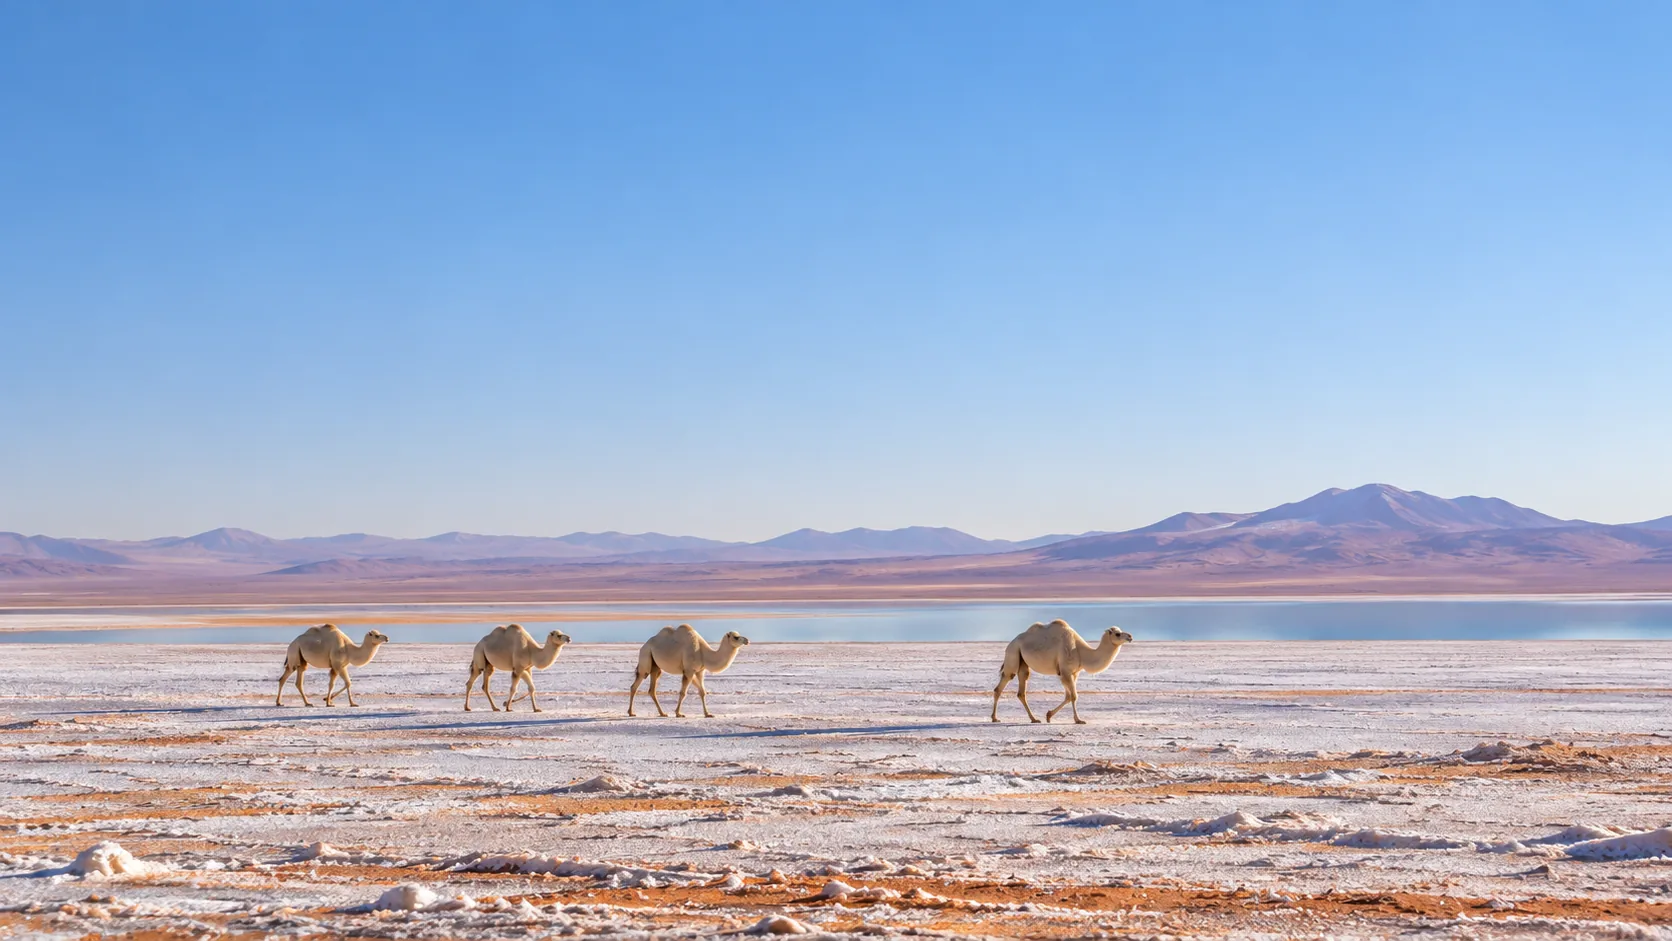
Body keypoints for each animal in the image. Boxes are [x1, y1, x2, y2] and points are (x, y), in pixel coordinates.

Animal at [990, 619, 1132, 724]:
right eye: (1117, 634)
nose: (1130, 636)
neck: (1081, 652)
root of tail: (1012, 642)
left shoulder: (1073, 673)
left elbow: (1068, 696)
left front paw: (1048, 715)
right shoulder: (1066, 671)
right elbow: (1074, 696)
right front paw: (1078, 720)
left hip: (1022, 662)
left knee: (1021, 690)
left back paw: (1034, 719)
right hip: (1013, 653)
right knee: (1004, 682)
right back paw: (995, 718)